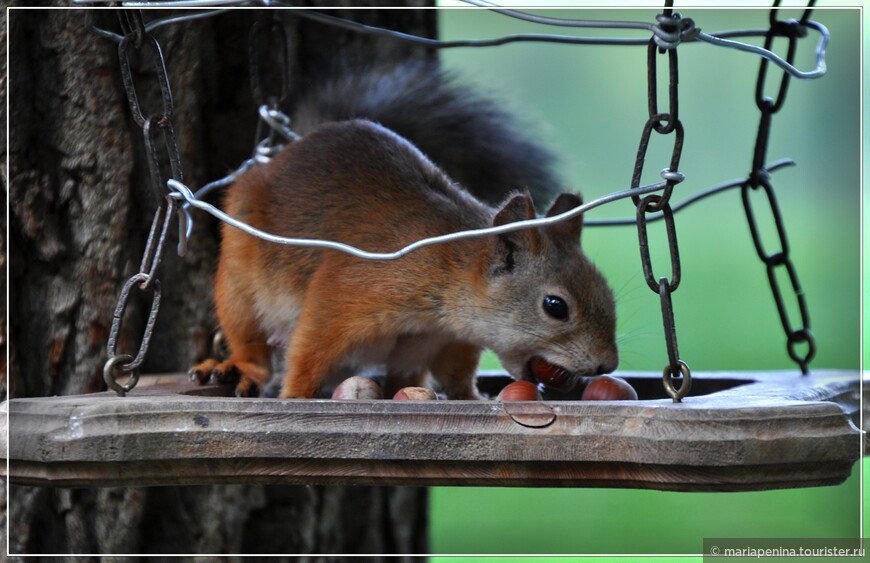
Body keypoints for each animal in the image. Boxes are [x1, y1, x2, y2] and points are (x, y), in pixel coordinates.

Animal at [191, 64, 620, 398]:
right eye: (555, 306)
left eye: (607, 291)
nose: (607, 365)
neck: (450, 276)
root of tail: (281, 156)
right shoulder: (347, 293)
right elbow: (310, 348)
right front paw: (295, 397)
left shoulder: (447, 339)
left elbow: (453, 374)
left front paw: (471, 398)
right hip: (239, 281)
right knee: (250, 338)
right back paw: (240, 367)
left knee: (404, 376)